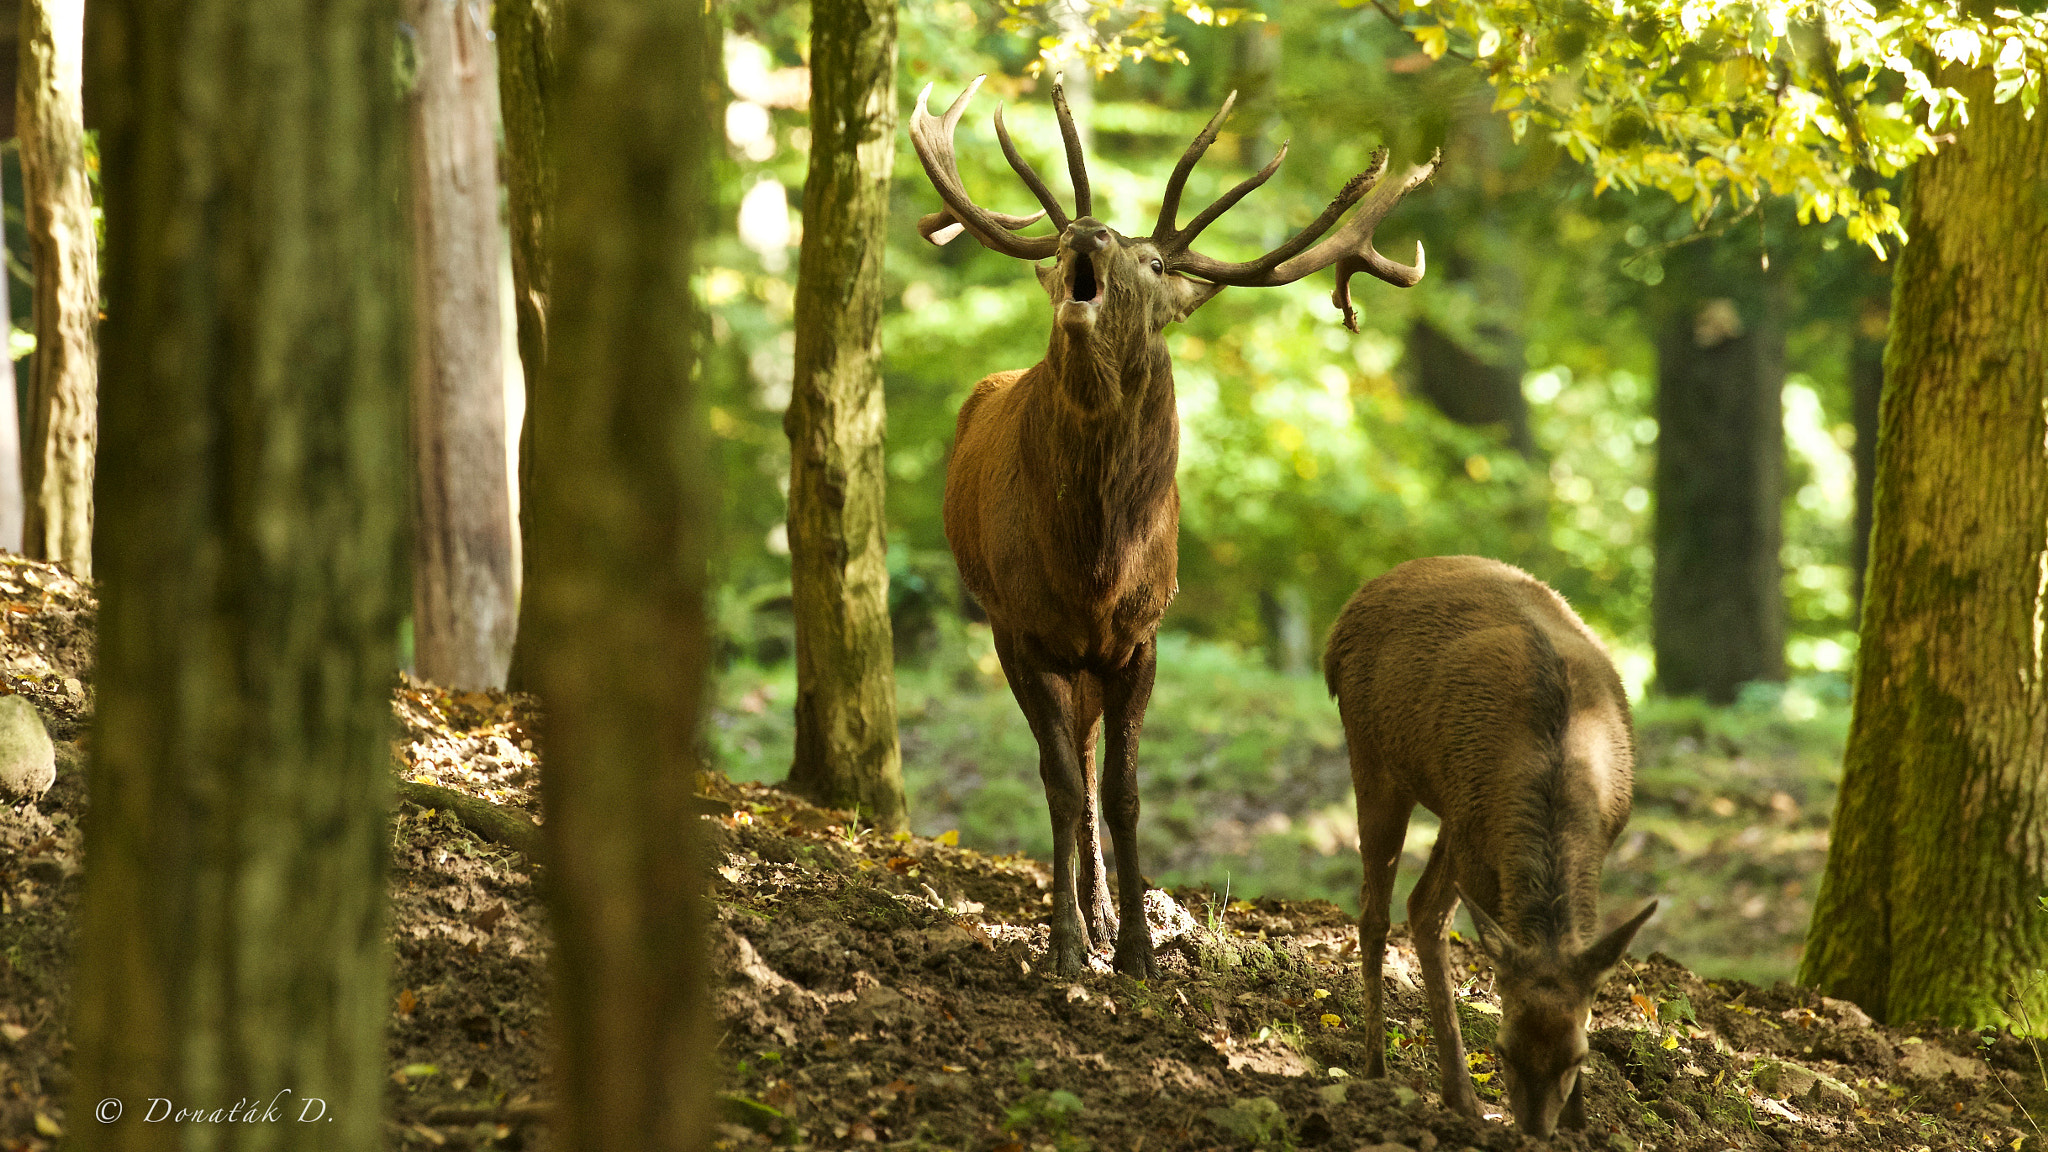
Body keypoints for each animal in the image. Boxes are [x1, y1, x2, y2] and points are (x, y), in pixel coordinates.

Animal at [913, 76, 1441, 971]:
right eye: (1070, 237)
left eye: (1155, 263)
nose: (1084, 233)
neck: (1095, 562)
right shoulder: (1020, 627)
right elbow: (1061, 785)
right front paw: (1066, 946)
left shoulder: (1141, 634)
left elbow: (1123, 791)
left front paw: (1136, 949)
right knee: (1069, 767)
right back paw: (1083, 920)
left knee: (1092, 764)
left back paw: (1103, 918)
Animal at [1318, 553, 1654, 1131]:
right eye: (1501, 1050)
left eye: (1578, 1057)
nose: (1536, 1131)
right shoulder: (1477, 844)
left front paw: (1581, 1122)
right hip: (1374, 755)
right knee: (1382, 911)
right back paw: (1387, 1072)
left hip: (1451, 814)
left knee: (1415, 904)